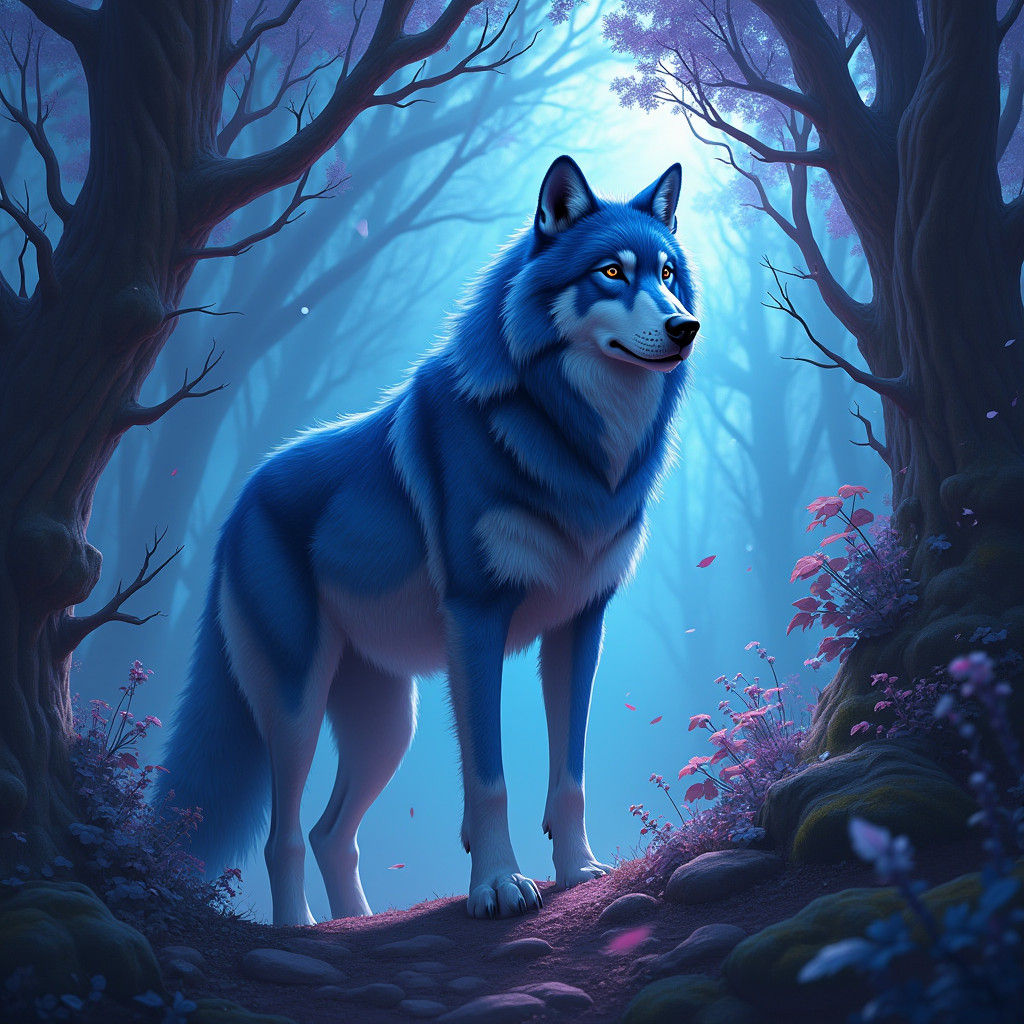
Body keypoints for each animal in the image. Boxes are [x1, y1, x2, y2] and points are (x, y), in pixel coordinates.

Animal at [156, 156, 699, 926]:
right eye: (612, 273)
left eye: (669, 273)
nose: (687, 326)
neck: (576, 442)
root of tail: (242, 499)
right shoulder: (476, 621)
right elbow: (489, 780)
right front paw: (498, 885)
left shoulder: (580, 625)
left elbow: (569, 773)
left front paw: (579, 870)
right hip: (296, 708)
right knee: (281, 836)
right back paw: (298, 931)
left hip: (388, 726)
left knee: (329, 833)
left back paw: (355, 923)